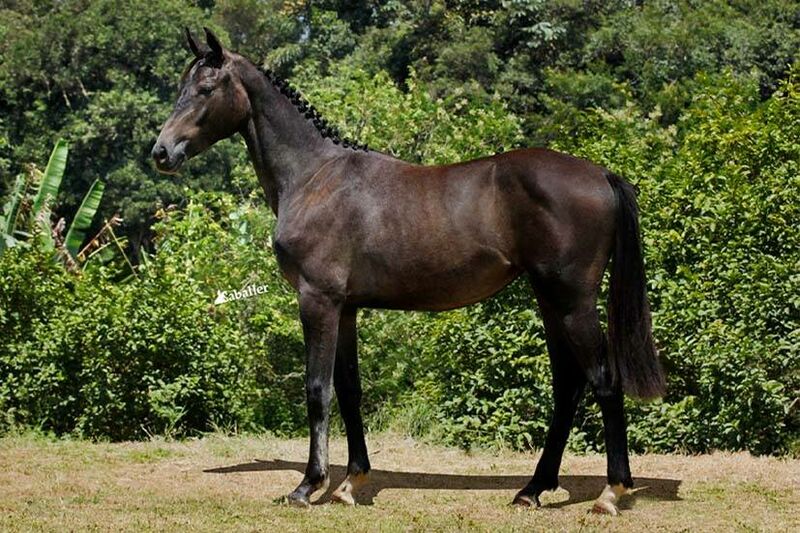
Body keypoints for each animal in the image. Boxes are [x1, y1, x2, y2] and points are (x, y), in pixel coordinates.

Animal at [153, 27, 664, 512]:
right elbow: (350, 390)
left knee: (604, 381)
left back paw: (611, 492)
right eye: (181, 85)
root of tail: (601, 175)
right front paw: (350, 483)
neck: (314, 176)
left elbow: (317, 390)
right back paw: (532, 490)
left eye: (205, 88)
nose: (161, 152)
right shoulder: (346, 308)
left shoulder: (318, 300)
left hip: (573, 300)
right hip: (549, 300)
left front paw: (308, 486)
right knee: (567, 386)